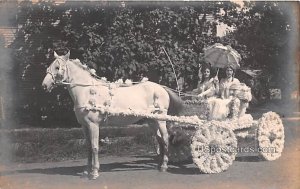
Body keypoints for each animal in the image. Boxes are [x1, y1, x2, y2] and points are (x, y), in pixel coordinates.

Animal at [42, 51, 183, 179]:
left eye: (57, 67)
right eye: (50, 66)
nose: (44, 85)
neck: (87, 91)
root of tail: (161, 88)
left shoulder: (94, 125)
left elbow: (94, 147)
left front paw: (94, 172)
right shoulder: (84, 126)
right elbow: (88, 148)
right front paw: (86, 171)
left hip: (160, 120)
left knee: (165, 138)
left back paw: (164, 166)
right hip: (151, 121)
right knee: (159, 140)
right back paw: (159, 165)